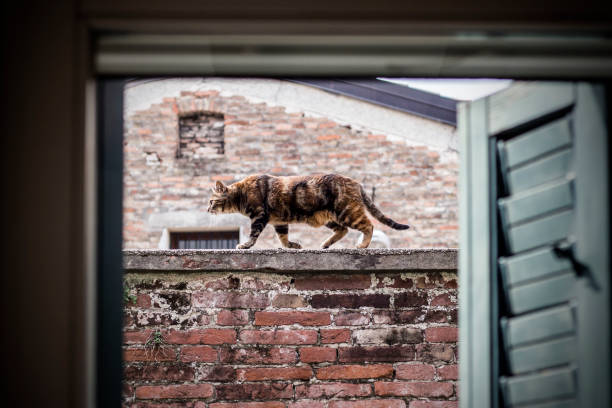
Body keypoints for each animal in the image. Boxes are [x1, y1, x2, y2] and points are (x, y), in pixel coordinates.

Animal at [207, 173, 412, 249]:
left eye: (211, 201)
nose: (208, 209)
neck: (241, 194)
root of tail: (355, 182)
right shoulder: (279, 222)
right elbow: (283, 238)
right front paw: (293, 245)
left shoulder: (259, 216)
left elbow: (253, 234)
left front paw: (245, 245)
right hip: (329, 217)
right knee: (343, 230)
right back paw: (325, 244)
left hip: (346, 211)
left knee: (368, 226)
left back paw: (363, 245)